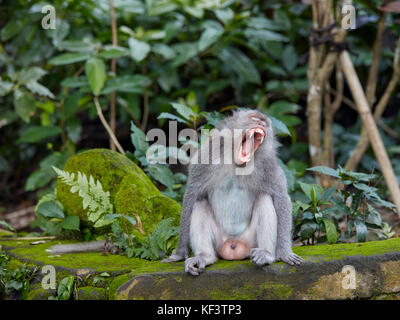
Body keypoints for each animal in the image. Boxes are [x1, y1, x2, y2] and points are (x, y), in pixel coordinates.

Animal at [161, 109, 302, 276]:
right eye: (254, 119)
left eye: (265, 123)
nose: (261, 125)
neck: (236, 162)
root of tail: (234, 246)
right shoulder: (208, 153)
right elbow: (192, 193)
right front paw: (179, 253)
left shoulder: (268, 163)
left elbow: (281, 197)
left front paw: (284, 252)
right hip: (219, 242)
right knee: (200, 203)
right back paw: (204, 257)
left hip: (250, 242)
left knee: (264, 198)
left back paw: (266, 254)